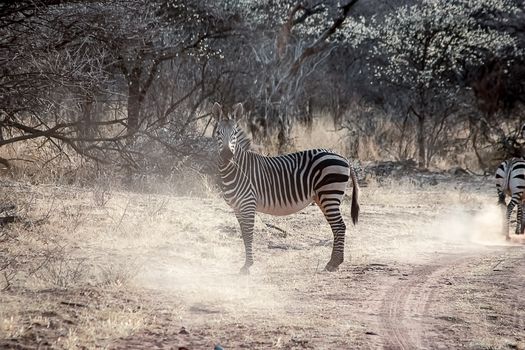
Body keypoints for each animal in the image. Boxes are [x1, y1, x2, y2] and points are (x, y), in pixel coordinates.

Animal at [211, 101, 358, 274]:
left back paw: (333, 263)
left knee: (340, 226)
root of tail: (343, 157)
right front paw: (247, 264)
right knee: (337, 226)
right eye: (218, 133)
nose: (227, 156)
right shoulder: (237, 208)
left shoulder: (248, 204)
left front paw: (247, 266)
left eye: (234, 133)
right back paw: (335, 262)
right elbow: (244, 234)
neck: (235, 169)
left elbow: (248, 235)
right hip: (323, 197)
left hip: (330, 194)